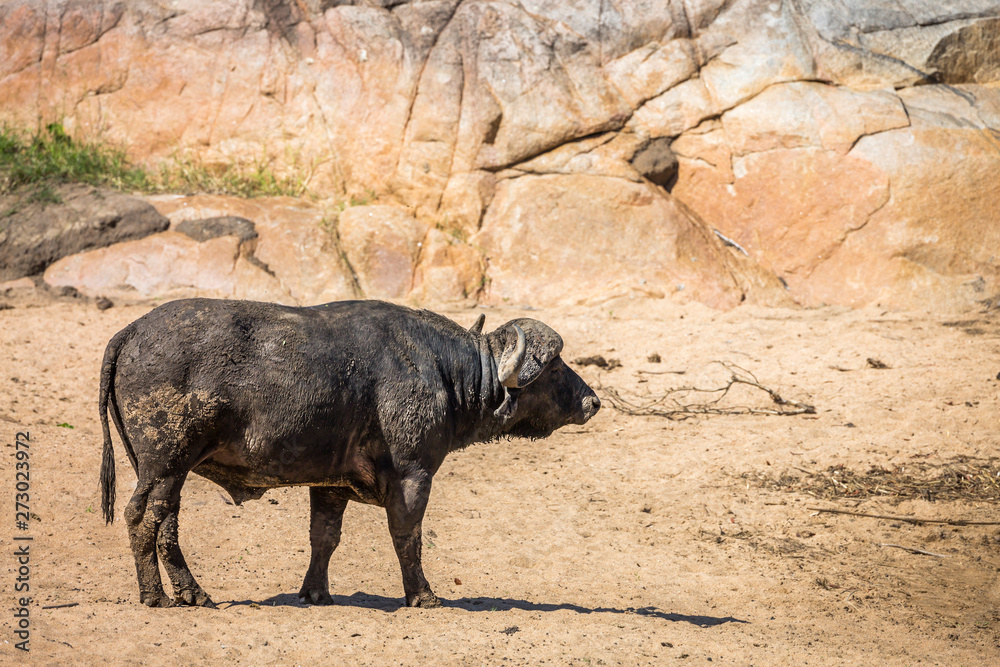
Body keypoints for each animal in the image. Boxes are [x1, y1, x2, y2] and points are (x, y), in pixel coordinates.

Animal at [99, 298, 600, 608]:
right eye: (555, 366)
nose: (593, 401)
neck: (442, 369)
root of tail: (130, 331)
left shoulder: (329, 484)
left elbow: (324, 537)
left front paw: (315, 592)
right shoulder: (414, 475)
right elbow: (408, 537)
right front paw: (423, 595)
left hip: (170, 472)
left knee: (166, 526)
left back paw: (192, 592)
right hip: (164, 465)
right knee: (141, 519)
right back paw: (156, 596)